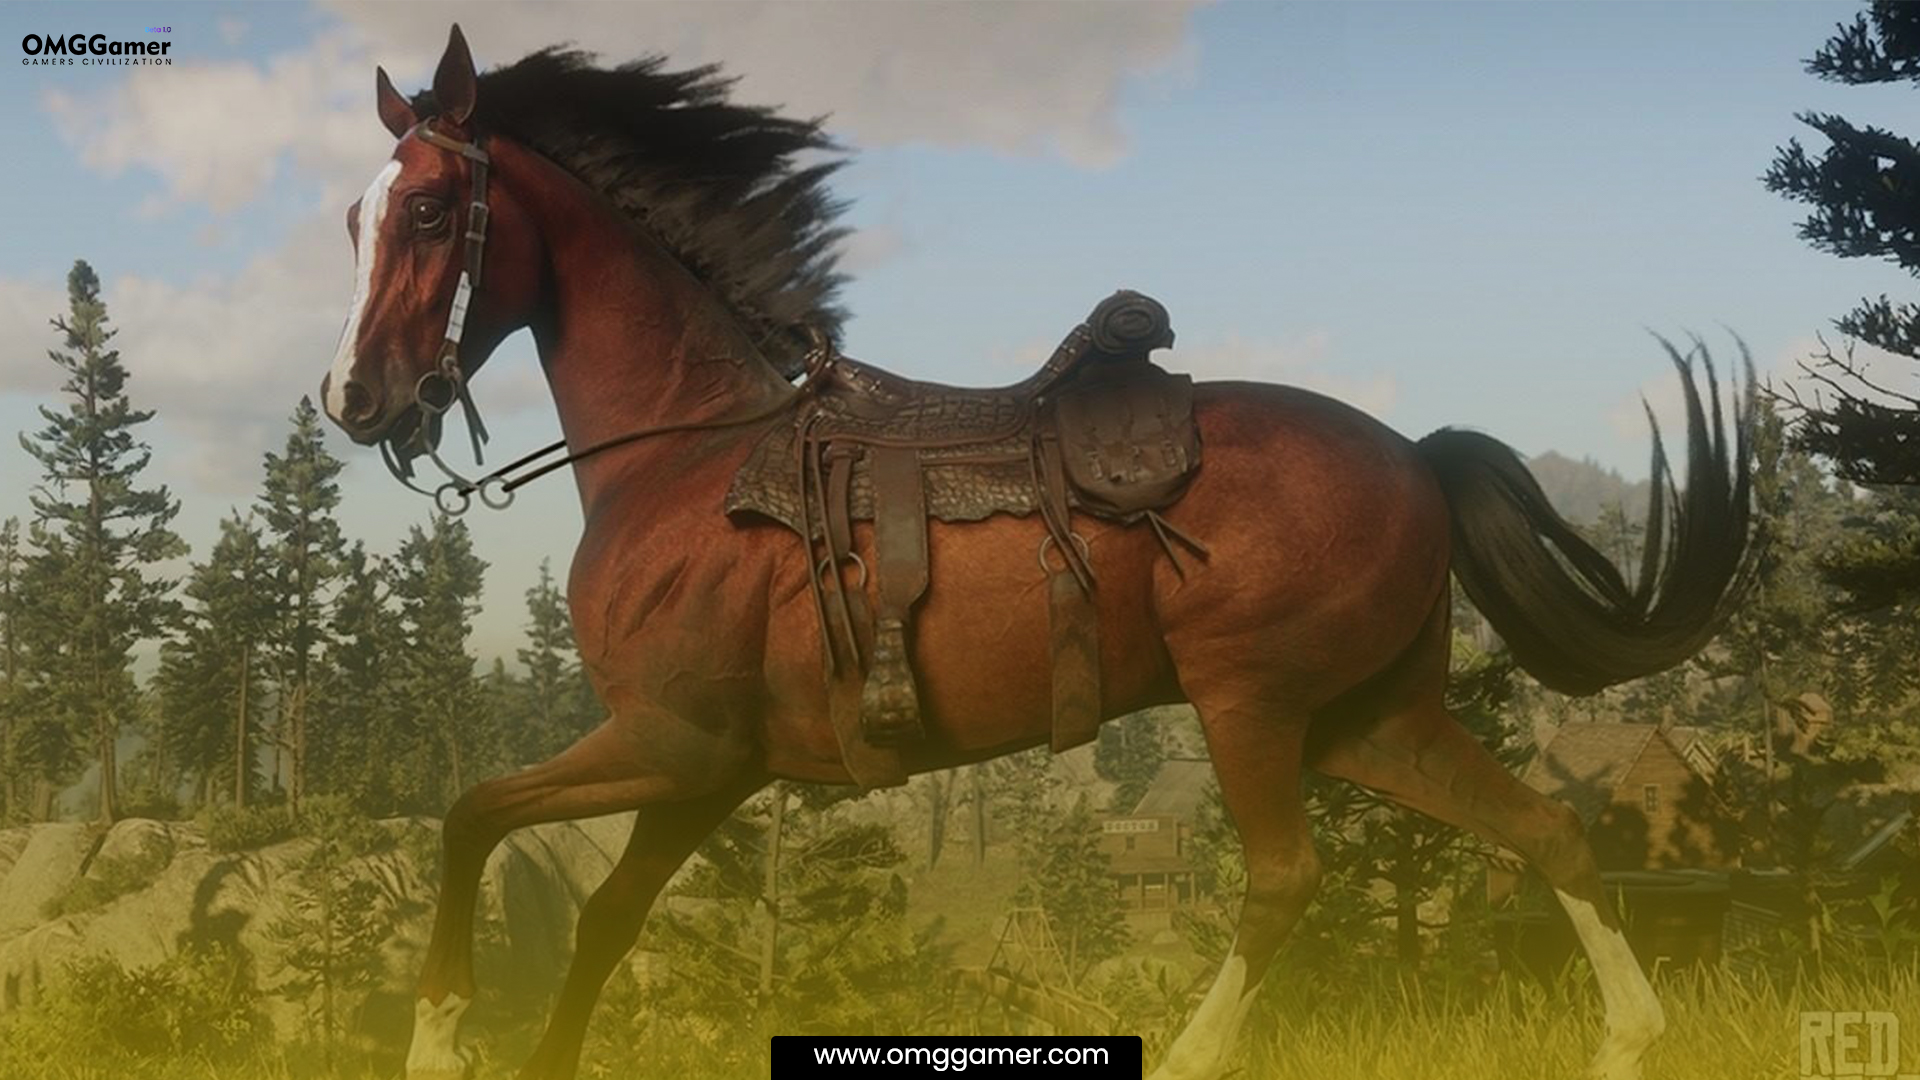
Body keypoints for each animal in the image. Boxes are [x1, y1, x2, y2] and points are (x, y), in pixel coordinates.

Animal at [319, 27, 1753, 1080]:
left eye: (434, 210)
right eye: (352, 219)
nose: (353, 400)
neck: (693, 458)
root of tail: (1412, 453)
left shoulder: (670, 743)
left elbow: (469, 814)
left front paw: (437, 1038)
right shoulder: (705, 770)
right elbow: (604, 922)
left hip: (1251, 704)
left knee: (1287, 878)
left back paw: (1194, 1055)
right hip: (1375, 720)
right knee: (1547, 831)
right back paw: (1628, 1041)